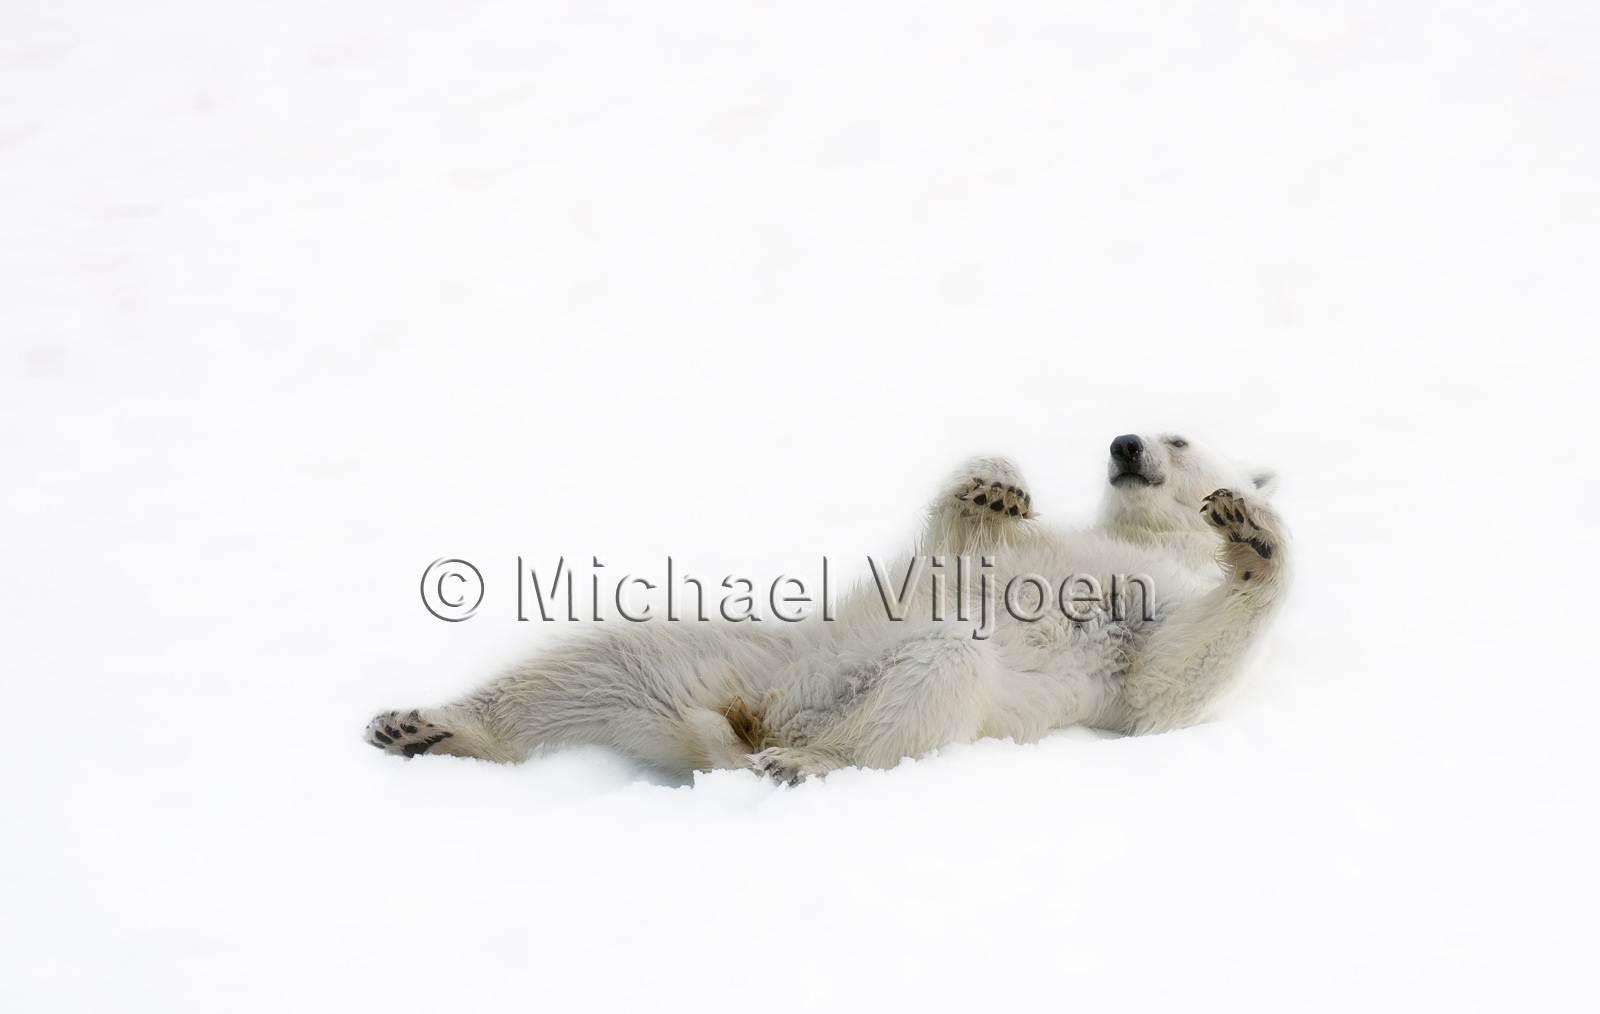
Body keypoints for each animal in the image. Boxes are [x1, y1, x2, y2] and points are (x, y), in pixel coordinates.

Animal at [366, 432, 1291, 783]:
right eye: (1137, 434)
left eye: (1177, 437)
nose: (1124, 444)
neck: (1141, 539)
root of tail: (744, 726)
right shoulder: (1016, 552)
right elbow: (958, 539)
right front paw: (993, 484)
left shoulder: (1148, 612)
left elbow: (1163, 686)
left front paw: (1254, 536)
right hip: (746, 657)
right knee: (602, 662)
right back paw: (422, 727)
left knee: (938, 670)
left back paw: (805, 762)